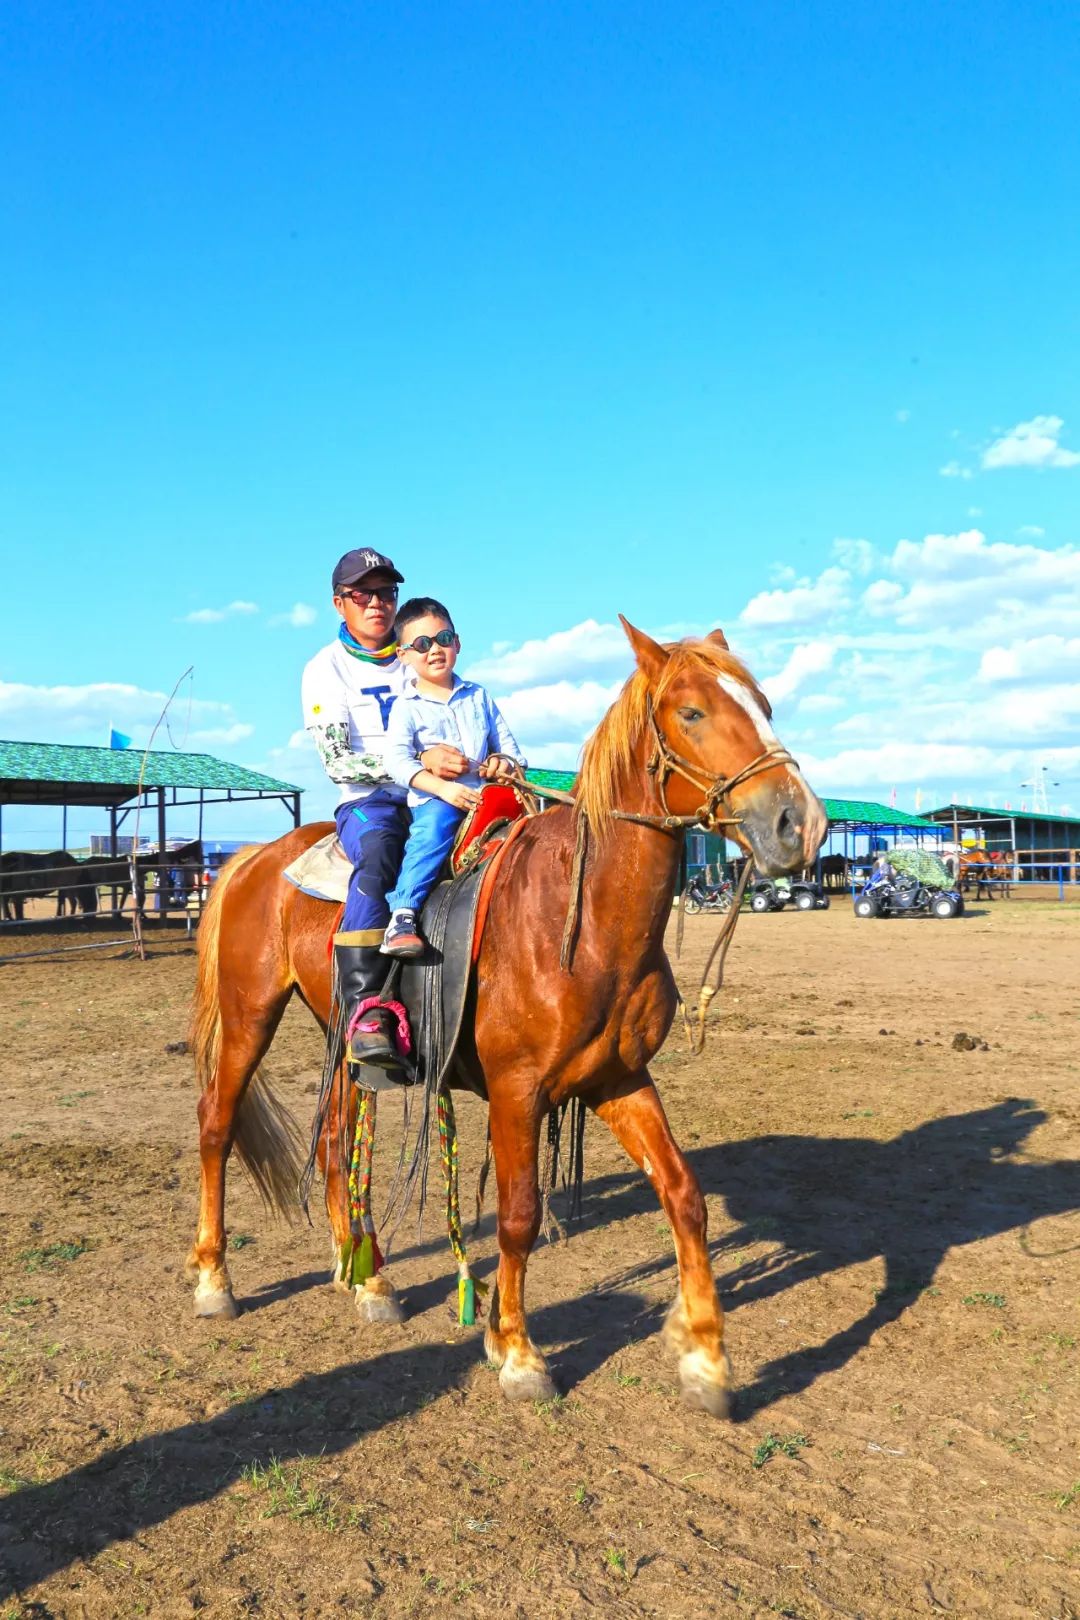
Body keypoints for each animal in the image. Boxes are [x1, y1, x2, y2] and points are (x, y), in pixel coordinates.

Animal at [187, 618, 829, 1419]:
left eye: (766, 704)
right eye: (692, 712)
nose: (802, 824)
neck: (576, 918)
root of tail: (250, 859)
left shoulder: (619, 1080)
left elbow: (684, 1194)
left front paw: (706, 1359)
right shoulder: (517, 1093)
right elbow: (519, 1215)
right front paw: (519, 1353)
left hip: (342, 1039)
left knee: (336, 1142)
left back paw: (367, 1279)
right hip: (249, 1016)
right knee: (217, 1124)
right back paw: (214, 1281)